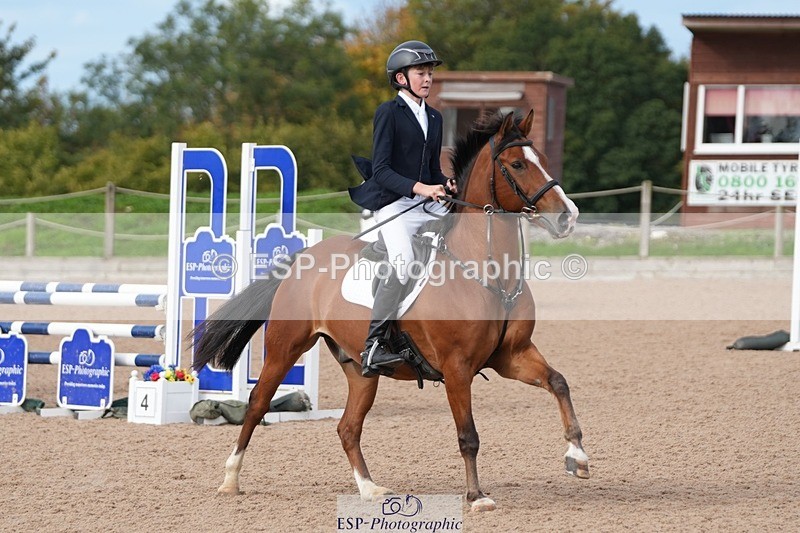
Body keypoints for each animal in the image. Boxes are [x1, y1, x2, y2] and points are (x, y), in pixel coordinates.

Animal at [191, 109, 589, 512]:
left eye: (542, 158)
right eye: (518, 164)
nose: (567, 217)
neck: (489, 273)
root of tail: (302, 257)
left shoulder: (511, 355)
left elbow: (559, 382)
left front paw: (577, 456)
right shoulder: (457, 368)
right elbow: (468, 435)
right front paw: (477, 497)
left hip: (359, 369)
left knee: (348, 427)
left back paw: (369, 488)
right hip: (285, 348)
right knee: (258, 404)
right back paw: (230, 479)